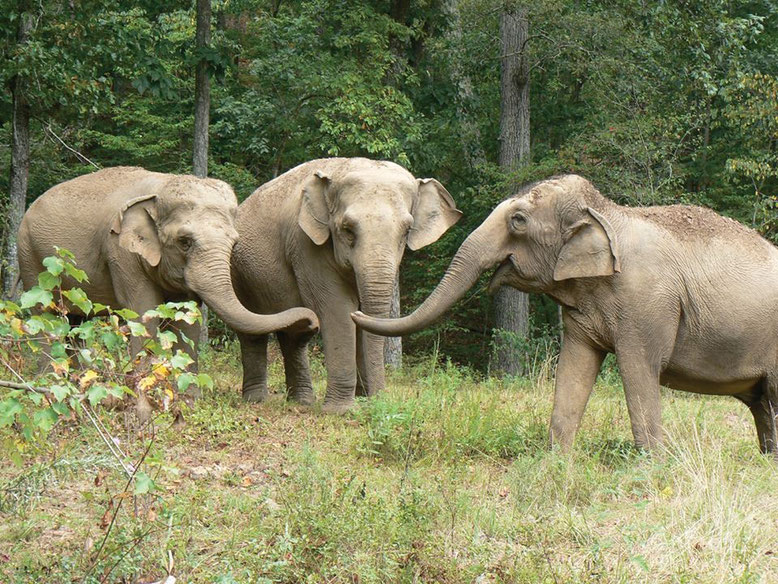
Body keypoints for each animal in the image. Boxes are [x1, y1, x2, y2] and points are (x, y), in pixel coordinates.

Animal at [17, 165, 318, 364]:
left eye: (234, 244)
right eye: (184, 242)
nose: (312, 322)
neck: (160, 189)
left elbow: (187, 320)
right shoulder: (119, 252)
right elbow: (143, 311)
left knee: (77, 321)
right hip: (29, 256)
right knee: (45, 316)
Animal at [230, 155, 460, 410]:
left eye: (407, 230)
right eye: (347, 229)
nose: (379, 398)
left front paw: (362, 400)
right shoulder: (306, 244)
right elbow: (337, 309)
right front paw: (341, 410)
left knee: (295, 334)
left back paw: (303, 402)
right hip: (240, 274)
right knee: (254, 330)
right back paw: (257, 400)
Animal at [354, 173, 778, 456]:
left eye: (518, 221)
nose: (355, 311)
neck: (608, 213)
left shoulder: (647, 303)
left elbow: (639, 370)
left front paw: (652, 465)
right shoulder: (582, 313)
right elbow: (576, 365)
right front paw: (556, 461)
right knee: (763, 405)